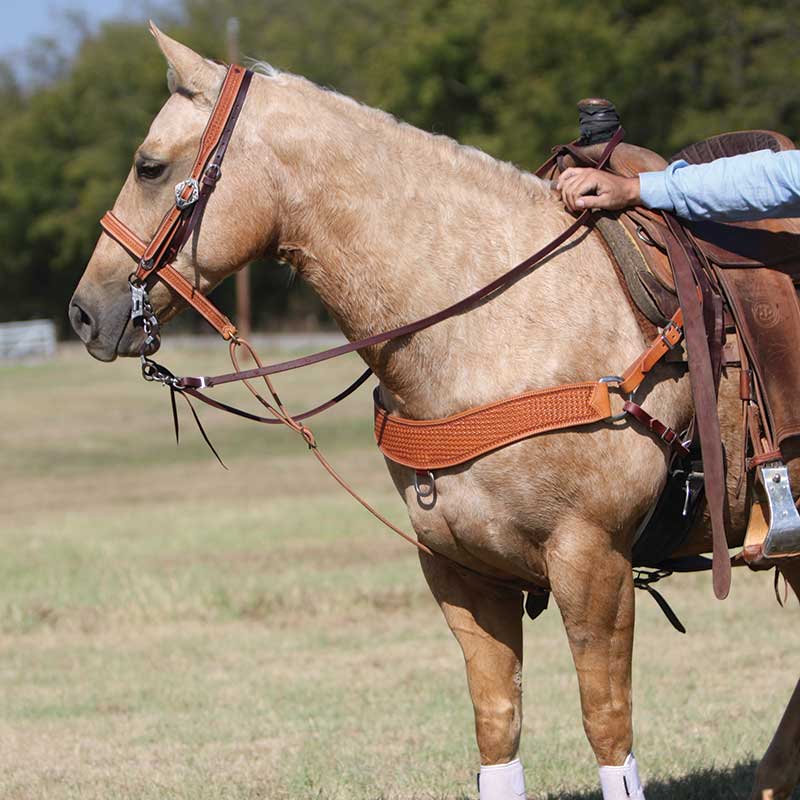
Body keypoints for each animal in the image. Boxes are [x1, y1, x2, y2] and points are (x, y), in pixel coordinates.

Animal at [70, 25, 800, 800]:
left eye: (149, 166)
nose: (84, 312)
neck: (496, 329)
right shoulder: (460, 570)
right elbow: (497, 727)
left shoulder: (593, 561)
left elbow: (608, 730)